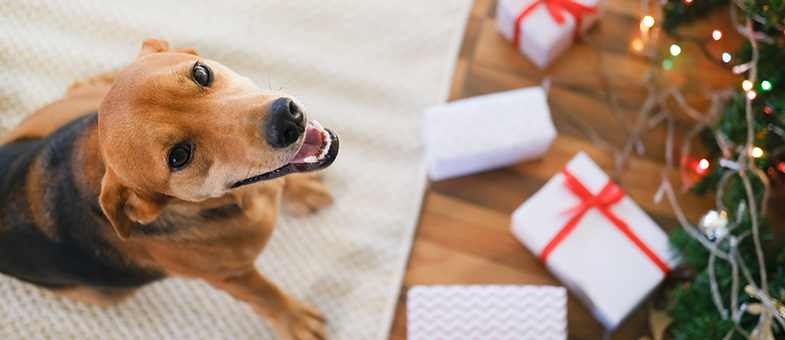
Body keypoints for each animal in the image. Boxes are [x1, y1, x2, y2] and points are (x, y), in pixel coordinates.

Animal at [0, 39, 336, 340]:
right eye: (178, 157)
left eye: (201, 73)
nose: (287, 118)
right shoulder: (231, 277)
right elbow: (265, 295)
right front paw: (294, 321)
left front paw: (300, 192)